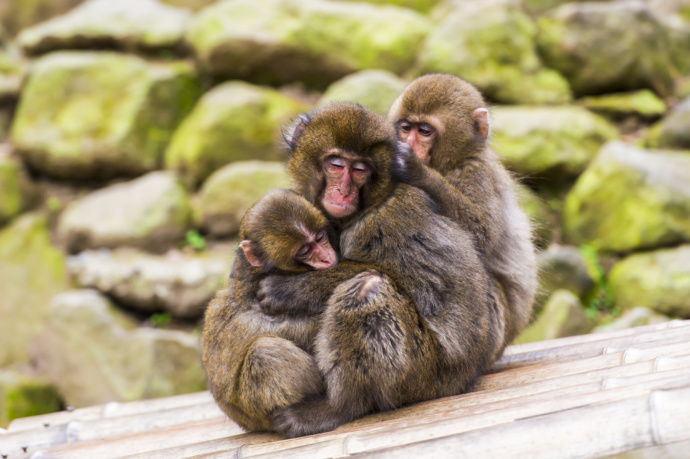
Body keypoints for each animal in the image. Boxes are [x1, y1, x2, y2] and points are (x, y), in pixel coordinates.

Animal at [255, 104, 498, 438]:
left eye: (360, 170)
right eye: (336, 164)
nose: (344, 192)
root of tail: (466, 375)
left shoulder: (388, 219)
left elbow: (423, 288)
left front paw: (290, 290)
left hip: (424, 376)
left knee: (369, 289)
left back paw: (339, 407)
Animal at [388, 74, 536, 348]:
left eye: (424, 131)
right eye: (406, 127)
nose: (408, 143)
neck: (452, 164)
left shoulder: (477, 175)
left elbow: (481, 238)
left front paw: (419, 173)